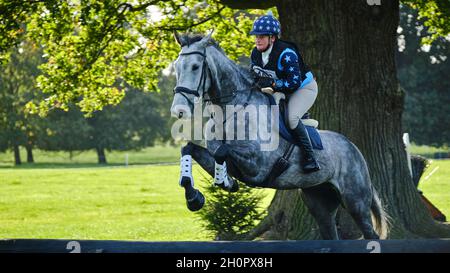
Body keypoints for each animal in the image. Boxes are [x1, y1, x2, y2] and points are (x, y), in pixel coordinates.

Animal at [171, 32, 388, 240]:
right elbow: (190, 148)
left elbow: (222, 152)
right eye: (176, 67)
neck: (230, 111)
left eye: (195, 66)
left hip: (355, 201)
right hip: (319, 200)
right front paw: (195, 197)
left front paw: (224, 181)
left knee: (370, 233)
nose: (178, 111)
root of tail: (354, 147)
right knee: (330, 231)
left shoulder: (258, 165)